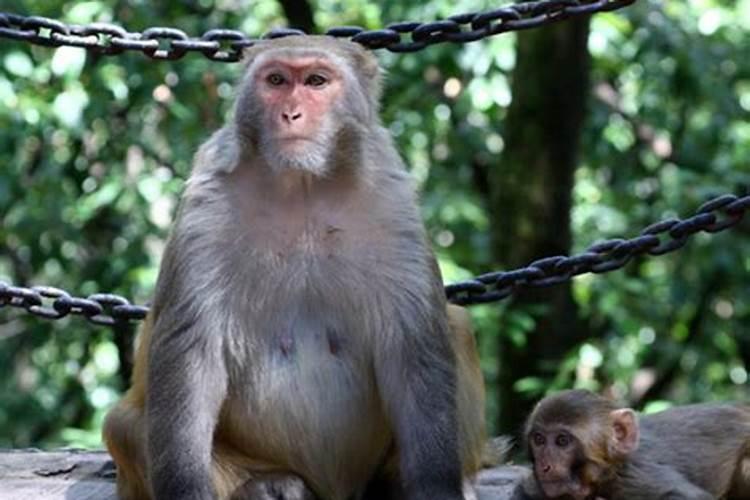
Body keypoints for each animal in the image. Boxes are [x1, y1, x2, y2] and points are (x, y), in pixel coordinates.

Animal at [103, 36, 488, 500]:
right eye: (276, 81)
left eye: (316, 81)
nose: (290, 113)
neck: (302, 186)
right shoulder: (206, 206)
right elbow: (191, 352)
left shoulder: (392, 200)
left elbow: (415, 346)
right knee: (124, 426)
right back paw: (265, 484)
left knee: (456, 323)